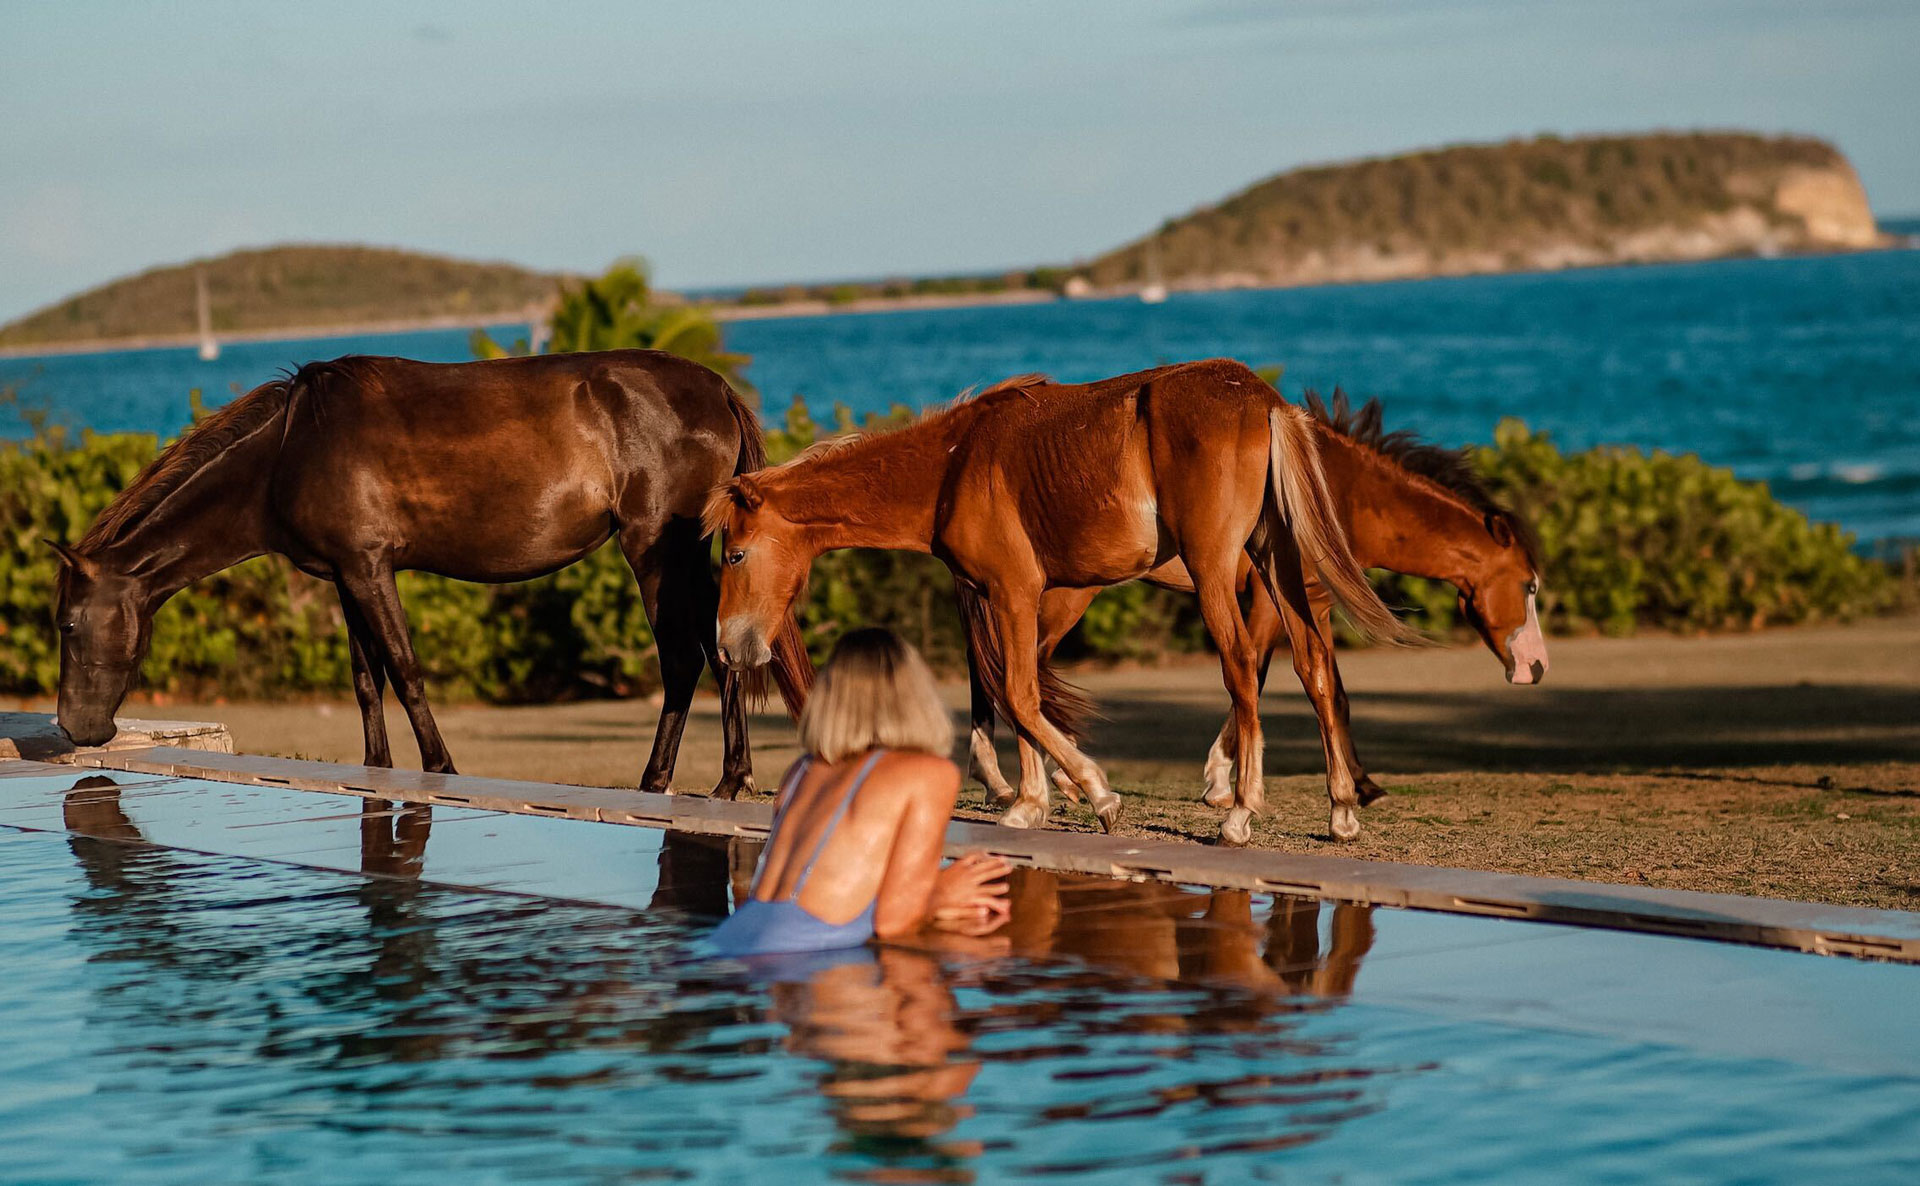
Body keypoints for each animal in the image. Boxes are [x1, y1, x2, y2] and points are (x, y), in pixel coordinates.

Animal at [49, 349, 812, 797]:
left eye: (69, 624)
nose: (76, 729)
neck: (288, 450)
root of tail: (714, 389)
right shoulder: (346, 575)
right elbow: (367, 681)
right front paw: (378, 773)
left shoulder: (370, 568)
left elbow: (406, 671)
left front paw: (440, 771)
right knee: (715, 653)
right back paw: (718, 781)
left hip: (658, 550)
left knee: (690, 658)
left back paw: (676, 783)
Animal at [704, 358, 1423, 846]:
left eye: (734, 555)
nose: (729, 645)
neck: (953, 466)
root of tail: (1262, 400)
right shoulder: (1007, 600)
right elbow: (1012, 691)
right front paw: (1030, 801)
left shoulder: (1013, 592)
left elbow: (1020, 694)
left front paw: (1095, 795)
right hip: (1278, 563)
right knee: (1314, 667)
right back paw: (1341, 809)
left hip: (1216, 570)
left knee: (1243, 668)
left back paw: (1241, 810)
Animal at [967, 388, 1547, 837]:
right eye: (1529, 585)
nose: (1536, 667)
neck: (1344, 491)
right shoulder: (1271, 600)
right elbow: (1263, 674)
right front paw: (1224, 784)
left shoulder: (1315, 603)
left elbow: (1331, 689)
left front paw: (1357, 788)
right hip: (1061, 597)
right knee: (1018, 669)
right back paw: (1049, 781)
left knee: (996, 670)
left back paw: (1004, 781)